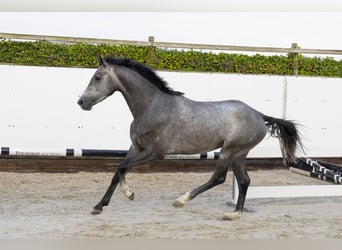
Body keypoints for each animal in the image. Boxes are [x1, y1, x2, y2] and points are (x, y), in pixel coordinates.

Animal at [77, 56, 302, 221]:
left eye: (97, 77)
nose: (81, 102)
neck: (152, 107)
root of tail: (259, 115)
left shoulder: (153, 152)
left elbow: (122, 168)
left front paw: (129, 193)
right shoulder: (135, 147)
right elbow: (118, 171)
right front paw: (99, 206)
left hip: (230, 150)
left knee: (219, 177)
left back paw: (182, 200)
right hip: (239, 154)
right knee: (244, 180)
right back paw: (234, 213)